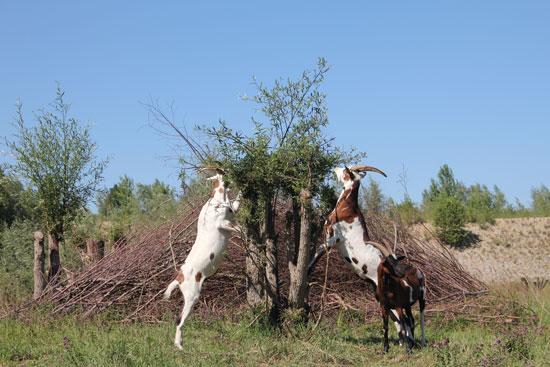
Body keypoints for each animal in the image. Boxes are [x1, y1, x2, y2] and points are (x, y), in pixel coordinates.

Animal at [164, 168, 242, 350]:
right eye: (225, 171)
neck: (217, 201)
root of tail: (179, 278)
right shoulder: (224, 223)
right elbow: (240, 229)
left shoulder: (232, 211)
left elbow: (238, 200)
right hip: (192, 297)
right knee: (179, 321)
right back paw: (179, 346)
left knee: (178, 319)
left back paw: (180, 343)